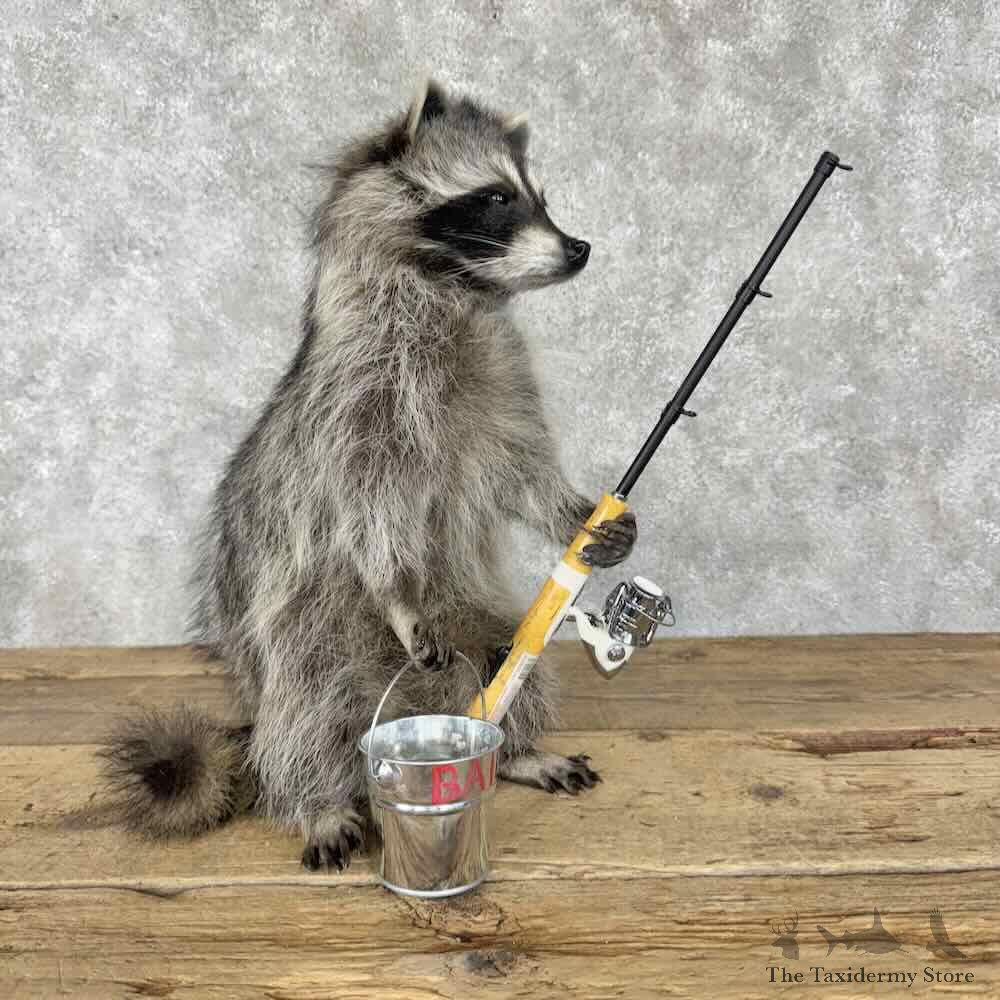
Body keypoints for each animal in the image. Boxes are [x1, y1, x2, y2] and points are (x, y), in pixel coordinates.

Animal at [100, 79, 636, 871]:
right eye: (495, 199)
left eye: (539, 197)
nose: (578, 247)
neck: (452, 290)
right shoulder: (358, 402)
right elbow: (368, 509)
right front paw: (397, 592)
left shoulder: (499, 380)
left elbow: (521, 469)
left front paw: (572, 511)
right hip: (303, 642)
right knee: (306, 715)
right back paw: (316, 800)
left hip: (477, 614)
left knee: (510, 662)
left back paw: (513, 750)